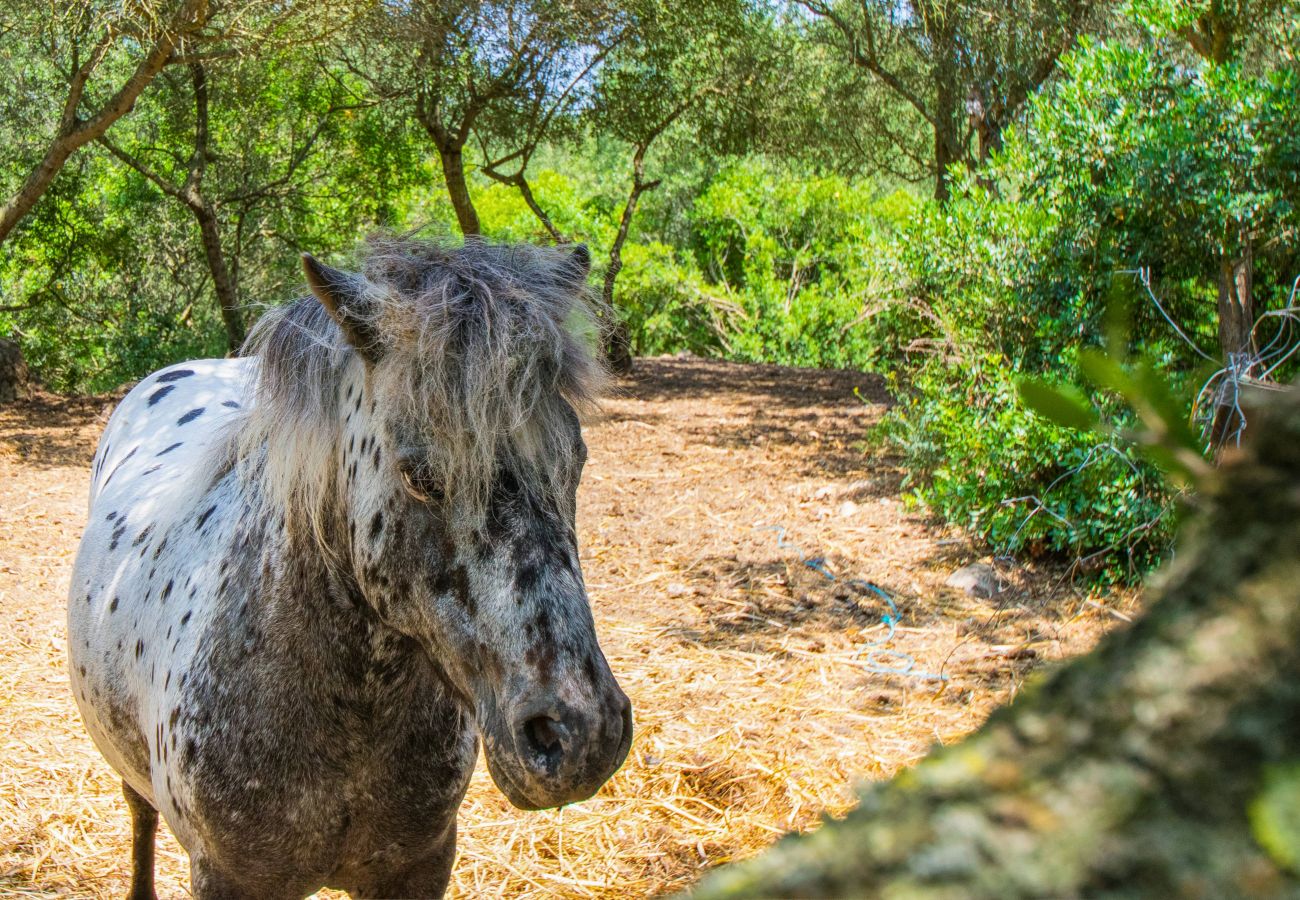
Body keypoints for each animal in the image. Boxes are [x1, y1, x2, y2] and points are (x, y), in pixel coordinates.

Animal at [68, 235, 631, 894]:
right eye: (420, 475)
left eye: (577, 458)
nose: (585, 734)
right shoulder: (226, 879)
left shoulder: (418, 869)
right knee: (139, 817)